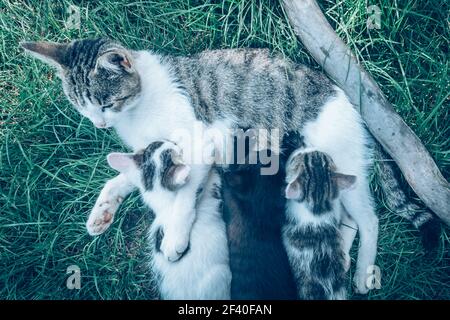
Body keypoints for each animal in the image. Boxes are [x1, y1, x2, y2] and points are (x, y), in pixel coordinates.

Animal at [106, 140, 232, 300]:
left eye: (170, 143)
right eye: (177, 152)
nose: (178, 144)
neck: (163, 202)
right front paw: (206, 152)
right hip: (222, 274)